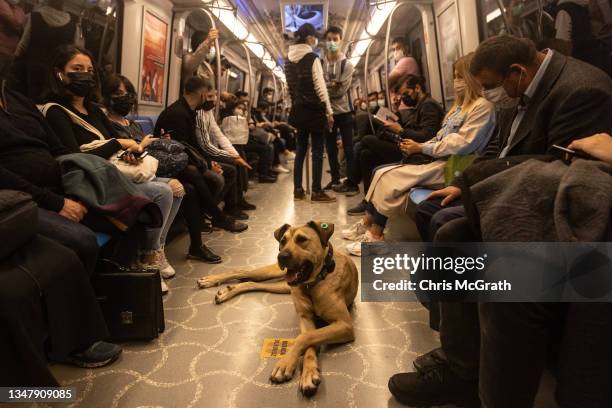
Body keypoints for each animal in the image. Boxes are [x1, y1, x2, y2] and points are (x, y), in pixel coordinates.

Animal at [196, 222, 358, 396]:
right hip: (273, 273)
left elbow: (306, 338)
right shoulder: (305, 318)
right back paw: (211, 280)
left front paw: (296, 369)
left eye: (302, 239)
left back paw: (228, 290)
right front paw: (294, 366)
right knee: (242, 272)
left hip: (283, 286)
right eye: (283, 241)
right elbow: (306, 338)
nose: (282, 256)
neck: (312, 284)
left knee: (251, 282)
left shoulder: (345, 324)